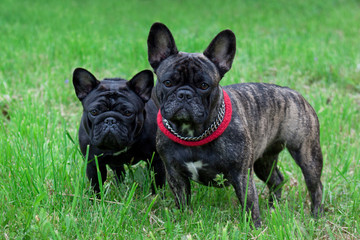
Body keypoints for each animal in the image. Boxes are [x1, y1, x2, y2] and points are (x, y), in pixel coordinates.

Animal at [146, 23, 324, 227]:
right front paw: (184, 221)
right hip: (263, 160)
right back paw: (274, 208)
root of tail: (294, 93)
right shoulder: (175, 174)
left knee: (315, 185)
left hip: (307, 155)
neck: (193, 133)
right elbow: (182, 201)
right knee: (276, 180)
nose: (184, 94)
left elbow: (250, 203)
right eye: (167, 82)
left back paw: (316, 215)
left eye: (204, 85)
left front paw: (255, 227)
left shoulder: (241, 174)